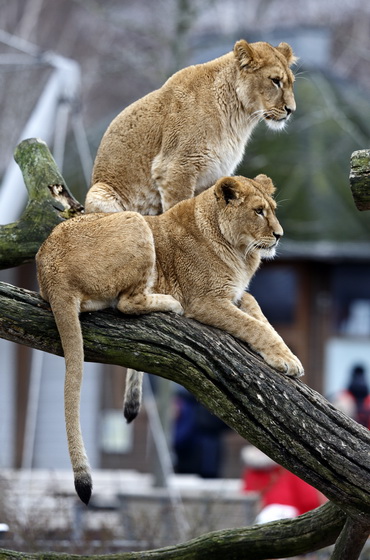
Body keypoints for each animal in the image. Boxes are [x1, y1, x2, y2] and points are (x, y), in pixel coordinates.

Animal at [36, 174, 304, 504]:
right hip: (135, 221)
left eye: (272, 210)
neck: (241, 251)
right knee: (126, 303)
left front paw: (286, 355)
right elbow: (254, 326)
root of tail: (50, 269)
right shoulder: (205, 301)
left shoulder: (235, 295)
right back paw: (168, 303)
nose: (279, 236)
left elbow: (261, 317)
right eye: (258, 211)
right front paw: (285, 361)